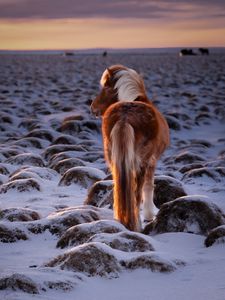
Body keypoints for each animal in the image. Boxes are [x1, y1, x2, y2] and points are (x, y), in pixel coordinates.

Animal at [90, 64, 170, 231]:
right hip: (141, 164)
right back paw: (136, 224)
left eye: (105, 88)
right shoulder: (152, 161)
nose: (92, 107)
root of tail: (125, 116)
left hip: (114, 160)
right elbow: (149, 187)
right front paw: (149, 215)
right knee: (137, 193)